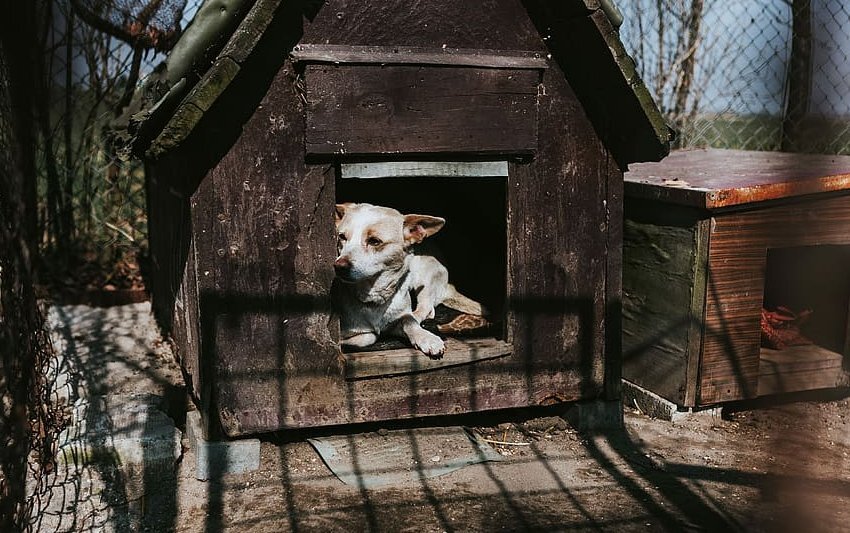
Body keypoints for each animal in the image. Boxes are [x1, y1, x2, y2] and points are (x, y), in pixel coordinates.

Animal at [332, 203, 484, 358]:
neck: (373, 297)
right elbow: (369, 336)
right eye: (342, 237)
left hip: (424, 278)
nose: (338, 267)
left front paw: (426, 338)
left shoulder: (403, 315)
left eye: (374, 241)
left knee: (425, 309)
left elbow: (408, 321)